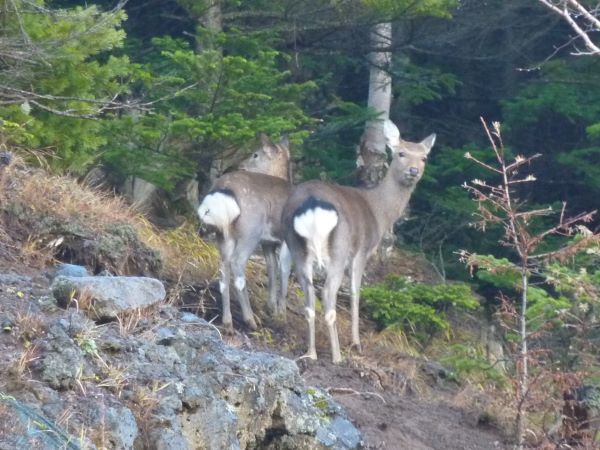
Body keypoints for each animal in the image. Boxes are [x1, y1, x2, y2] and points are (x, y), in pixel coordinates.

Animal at [198, 134, 292, 330]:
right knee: (237, 263)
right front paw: (281, 314)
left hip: (225, 234)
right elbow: (284, 271)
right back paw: (250, 319)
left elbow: (272, 269)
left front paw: (271, 308)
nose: (239, 165)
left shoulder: (268, 242)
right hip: (250, 230)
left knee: (224, 266)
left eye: (255, 154)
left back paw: (227, 321)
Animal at [282, 119, 436, 362]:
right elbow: (356, 293)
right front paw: (356, 342)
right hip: (338, 249)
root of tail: (310, 204)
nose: (414, 171)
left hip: (297, 248)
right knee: (328, 294)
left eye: (424, 158)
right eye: (401, 153)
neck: (379, 211)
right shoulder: (362, 251)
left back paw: (311, 353)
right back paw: (337, 355)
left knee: (309, 299)